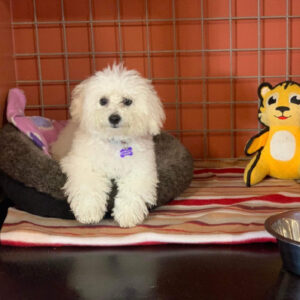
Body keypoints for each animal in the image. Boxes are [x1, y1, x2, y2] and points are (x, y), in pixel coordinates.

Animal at [50, 63, 165, 227]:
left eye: (127, 101)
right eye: (103, 101)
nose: (114, 118)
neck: (114, 141)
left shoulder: (141, 169)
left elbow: (133, 190)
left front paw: (127, 214)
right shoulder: (83, 164)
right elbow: (89, 185)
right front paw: (88, 211)